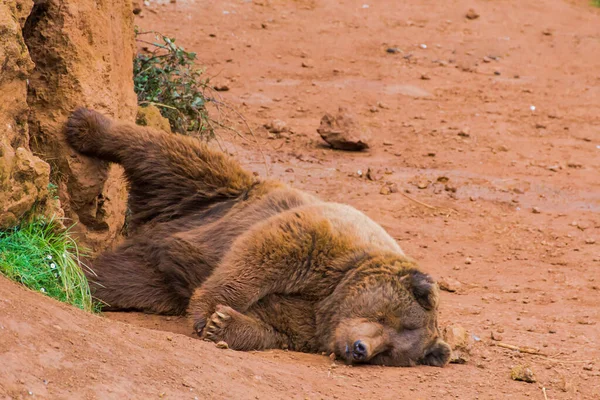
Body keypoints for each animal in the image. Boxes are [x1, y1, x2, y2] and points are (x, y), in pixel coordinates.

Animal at [65, 108, 450, 368]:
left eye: (390, 351)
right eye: (387, 318)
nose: (360, 349)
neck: (332, 296)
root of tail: (154, 228)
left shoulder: (308, 324)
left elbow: (271, 328)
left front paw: (222, 324)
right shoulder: (326, 240)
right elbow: (264, 253)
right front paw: (208, 311)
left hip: (155, 276)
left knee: (116, 278)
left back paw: (79, 275)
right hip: (218, 192)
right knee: (169, 154)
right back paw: (85, 126)